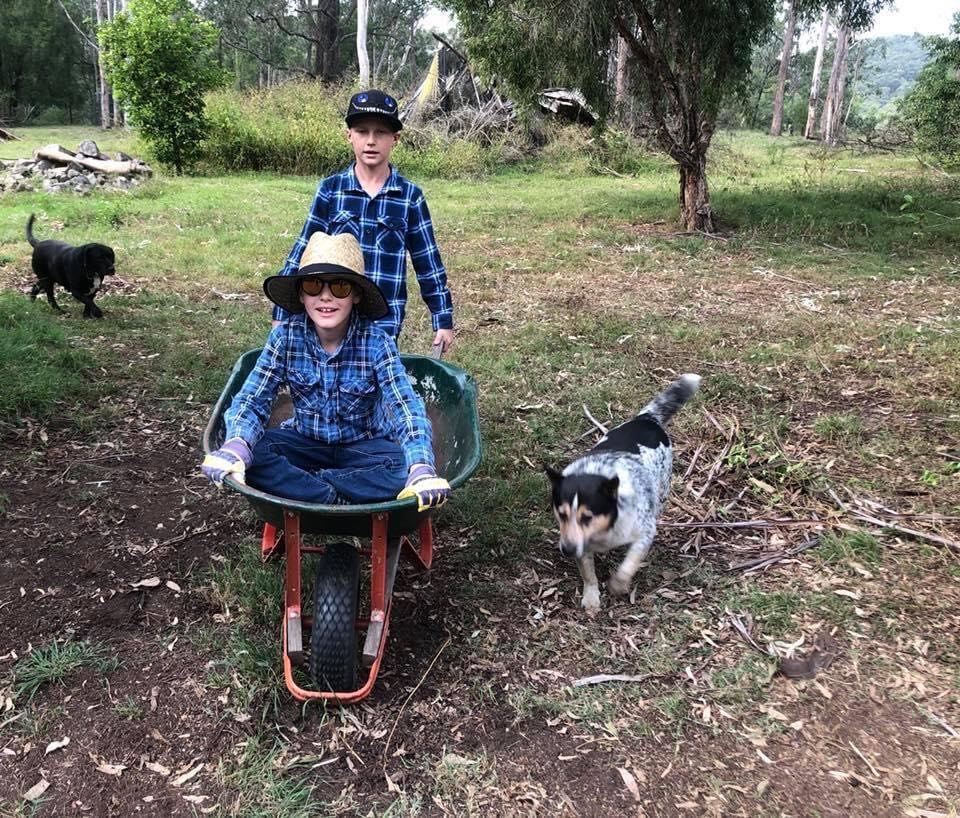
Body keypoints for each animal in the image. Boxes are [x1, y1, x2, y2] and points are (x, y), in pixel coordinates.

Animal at [548, 372, 704, 608]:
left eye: (588, 517)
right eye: (561, 514)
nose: (566, 550)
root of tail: (647, 418)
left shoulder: (643, 532)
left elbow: (630, 562)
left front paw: (618, 584)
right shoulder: (580, 544)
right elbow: (588, 573)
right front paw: (591, 597)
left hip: (662, 490)